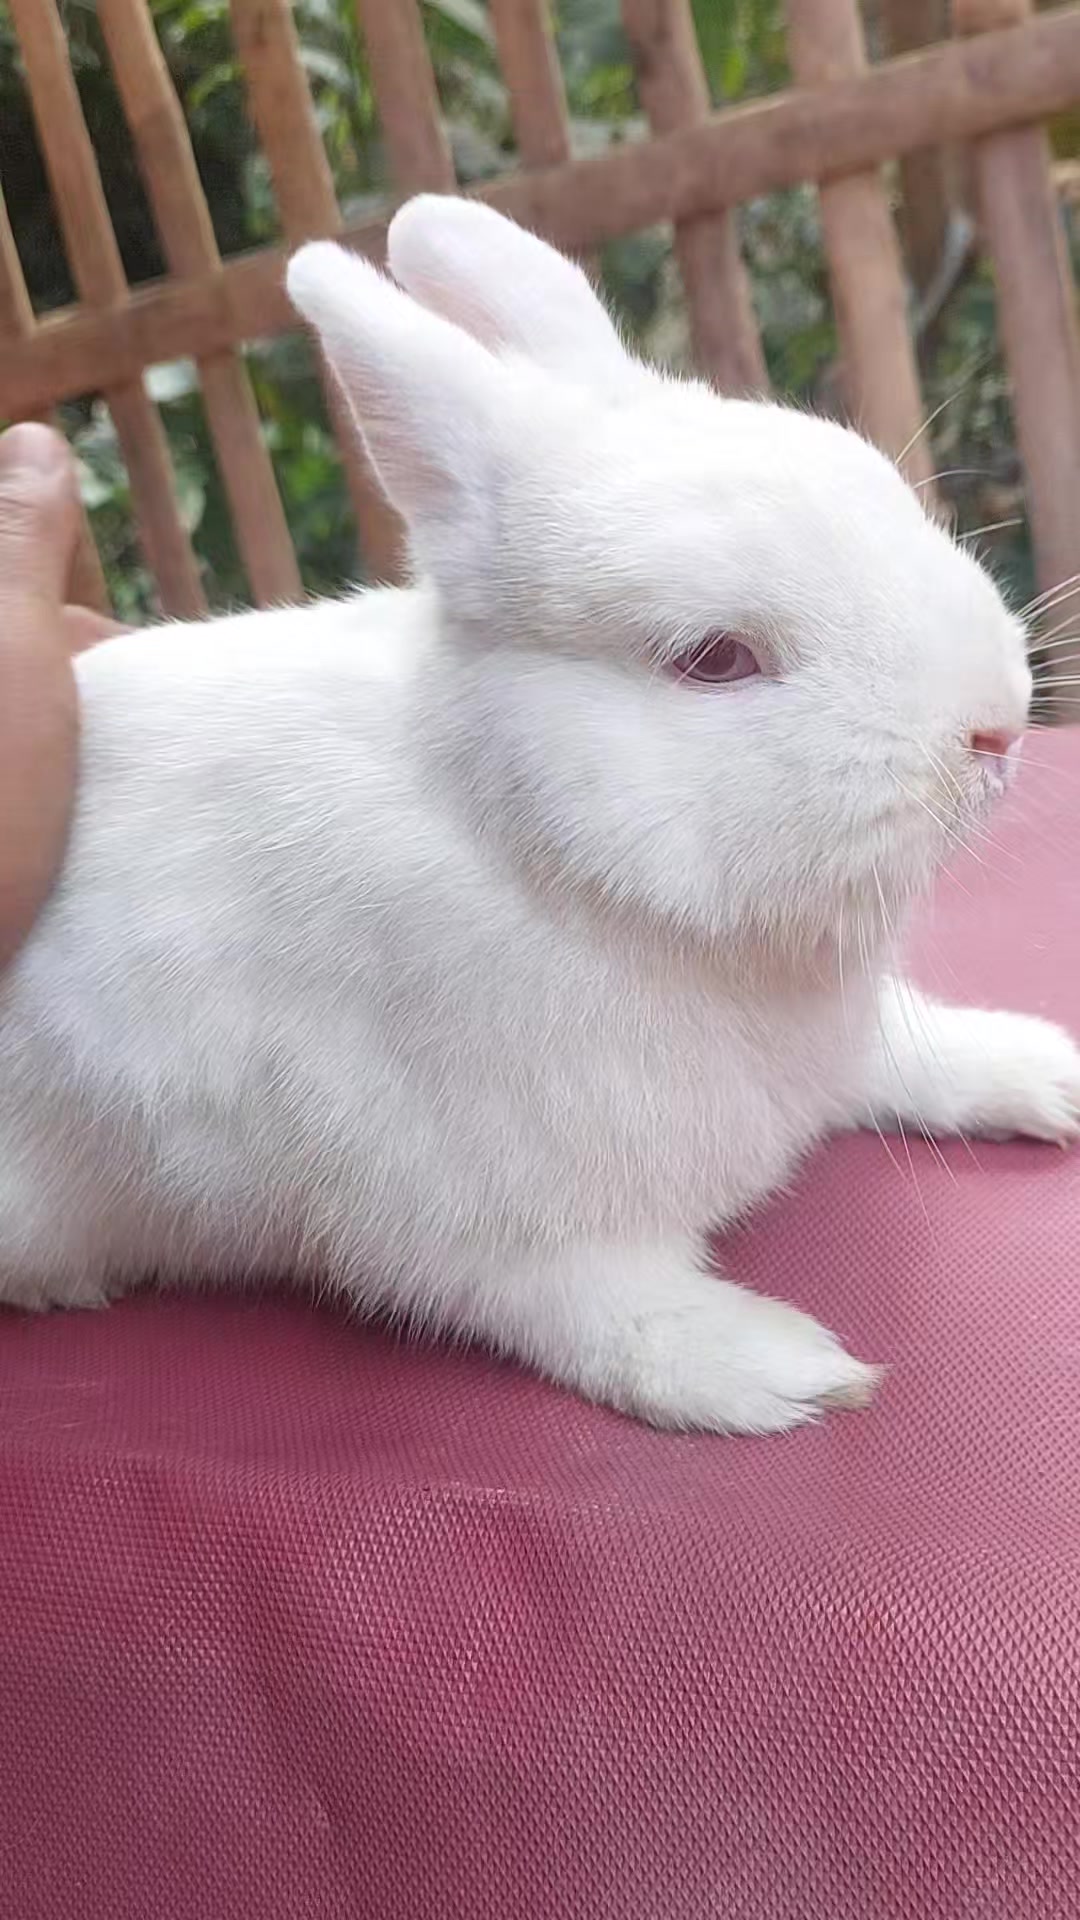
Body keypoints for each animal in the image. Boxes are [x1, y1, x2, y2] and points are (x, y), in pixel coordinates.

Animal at [0, 194, 1076, 1435]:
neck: (551, 861)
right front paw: (778, 1374)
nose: (995, 726)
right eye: (716, 659)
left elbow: (910, 1055)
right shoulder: (473, 1214)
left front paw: (1040, 1071)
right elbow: (600, 1314)